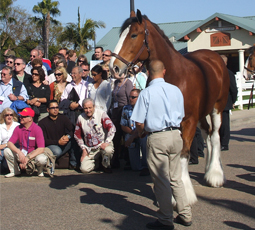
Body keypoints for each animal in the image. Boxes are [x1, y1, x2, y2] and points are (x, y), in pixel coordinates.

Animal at [109, 10, 229, 205]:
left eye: (134, 35)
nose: (114, 67)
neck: (175, 76)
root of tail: (214, 57)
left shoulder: (188, 122)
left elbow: (183, 155)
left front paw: (184, 193)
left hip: (217, 106)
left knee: (216, 136)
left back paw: (215, 175)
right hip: (202, 113)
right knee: (208, 134)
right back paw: (207, 170)